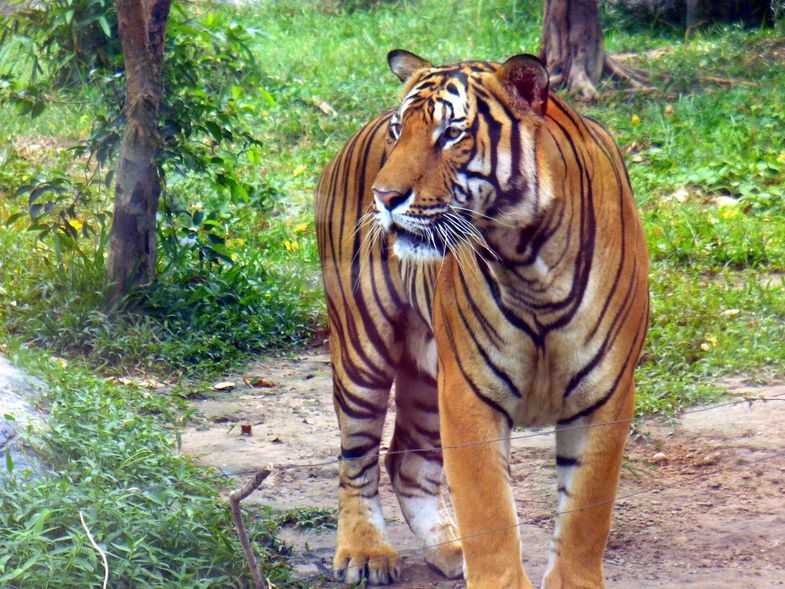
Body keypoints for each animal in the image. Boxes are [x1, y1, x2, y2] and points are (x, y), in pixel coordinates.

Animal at [312, 48, 648, 584]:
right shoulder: (470, 395)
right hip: (363, 349)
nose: (383, 198)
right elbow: (489, 514)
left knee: (407, 462)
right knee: (357, 458)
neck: (529, 260)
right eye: (398, 131)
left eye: (451, 133)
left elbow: (585, 515)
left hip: (430, 374)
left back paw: (448, 549)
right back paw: (366, 553)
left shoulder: (604, 396)